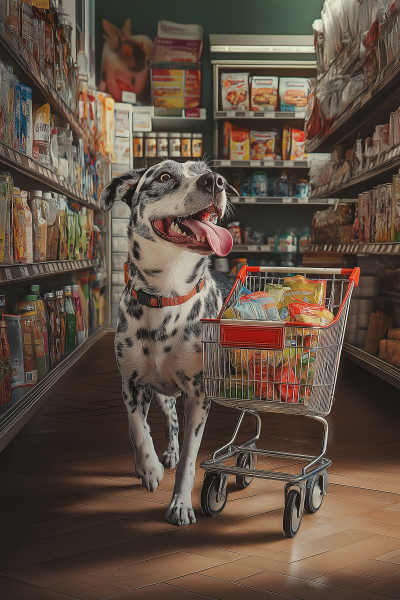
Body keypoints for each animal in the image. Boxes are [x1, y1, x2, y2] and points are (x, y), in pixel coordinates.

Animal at [101, 159, 238, 524]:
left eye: (205, 170)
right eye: (164, 176)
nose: (215, 181)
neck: (167, 293)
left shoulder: (199, 395)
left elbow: (191, 458)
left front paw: (180, 504)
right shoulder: (131, 383)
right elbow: (137, 427)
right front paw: (149, 468)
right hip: (159, 391)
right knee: (169, 419)